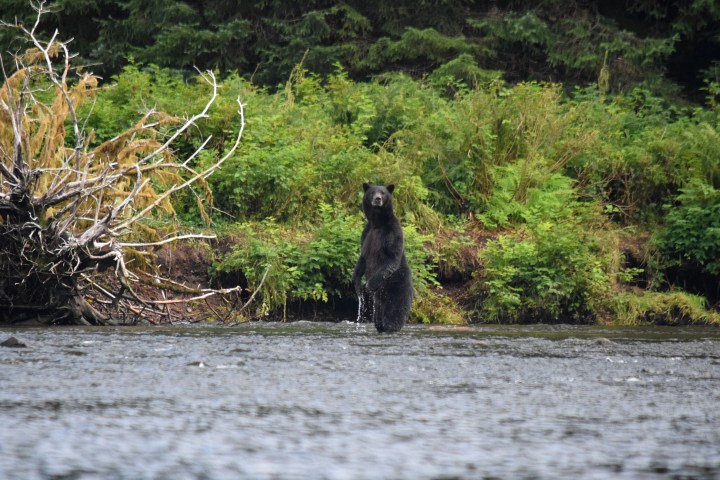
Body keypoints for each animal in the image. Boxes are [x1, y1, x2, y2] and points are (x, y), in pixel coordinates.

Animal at [352, 183, 413, 333]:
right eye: (373, 192)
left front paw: (367, 286)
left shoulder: (392, 231)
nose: (378, 199)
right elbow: (363, 258)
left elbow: (392, 258)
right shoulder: (367, 233)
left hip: (397, 287)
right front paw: (357, 284)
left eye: (383, 193)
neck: (377, 223)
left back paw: (390, 326)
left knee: (395, 313)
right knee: (379, 315)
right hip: (380, 301)